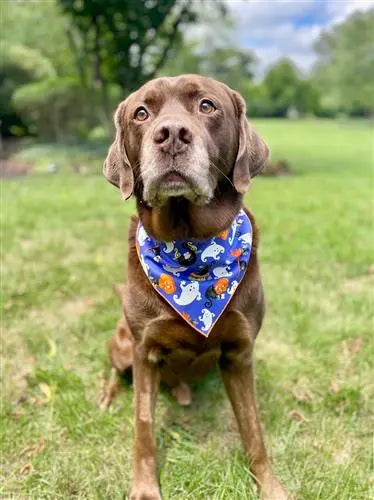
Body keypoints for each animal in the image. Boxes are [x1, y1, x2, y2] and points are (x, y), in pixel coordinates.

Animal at [101, 74, 290, 500]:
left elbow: (254, 430)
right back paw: (107, 396)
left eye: (207, 105)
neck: (189, 247)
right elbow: (143, 427)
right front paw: (144, 489)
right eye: (142, 113)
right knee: (115, 372)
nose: (171, 134)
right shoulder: (144, 351)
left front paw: (269, 485)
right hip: (121, 344)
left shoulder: (240, 353)